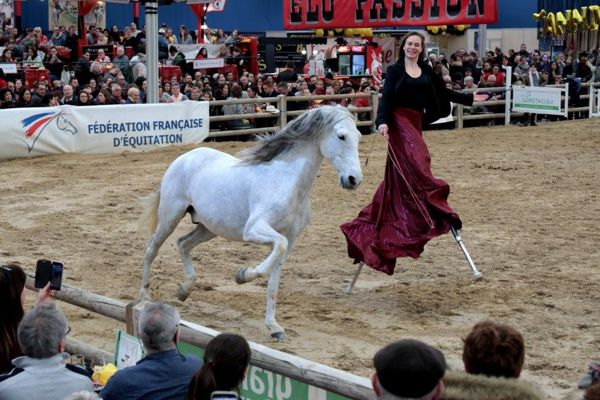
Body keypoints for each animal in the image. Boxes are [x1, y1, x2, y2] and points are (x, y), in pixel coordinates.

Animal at [138, 104, 364, 340]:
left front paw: (274, 327)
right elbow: (273, 254)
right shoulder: (255, 229)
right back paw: (144, 297)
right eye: (341, 136)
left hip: (208, 227)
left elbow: (274, 280)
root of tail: (185, 157)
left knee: (183, 243)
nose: (354, 179)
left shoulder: (290, 238)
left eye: (358, 136)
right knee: (151, 249)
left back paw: (184, 290)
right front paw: (242, 276)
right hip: (170, 217)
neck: (286, 182)